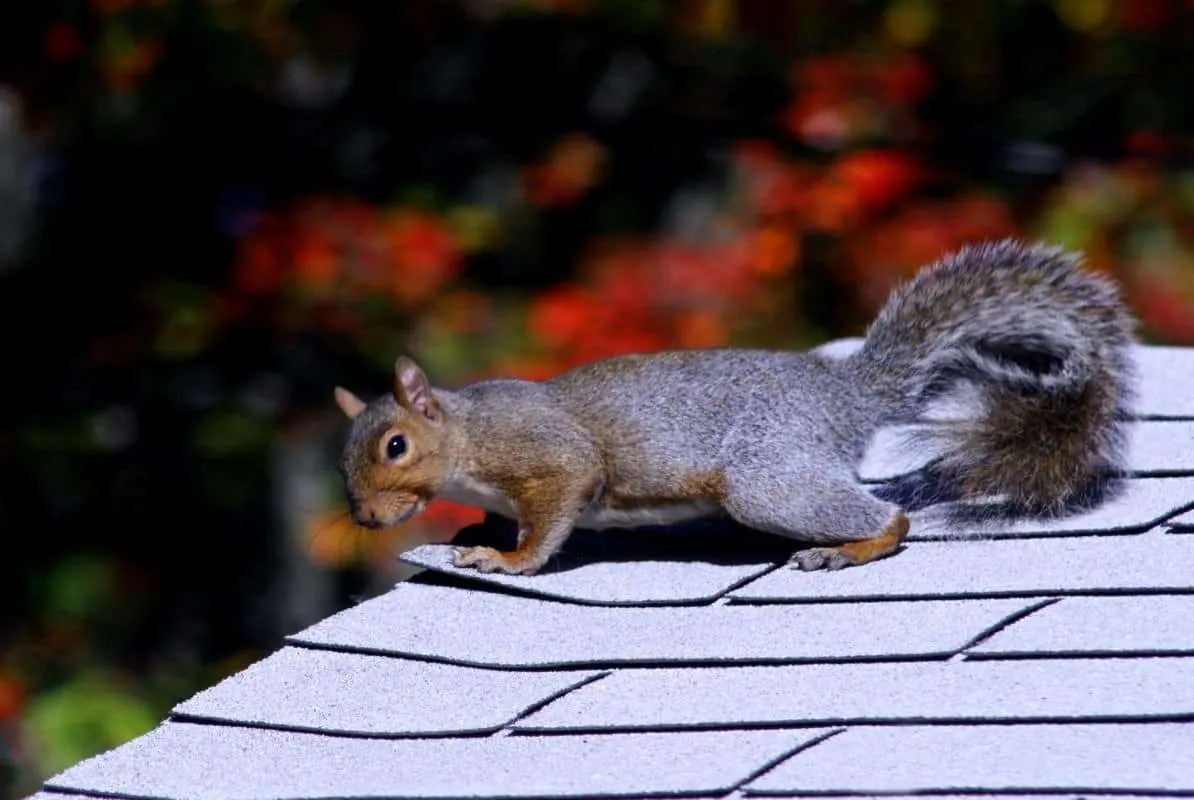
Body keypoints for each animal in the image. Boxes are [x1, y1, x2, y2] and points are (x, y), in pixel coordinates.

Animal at [332, 239, 1137, 576]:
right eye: (346, 459)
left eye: (396, 446)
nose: (366, 518)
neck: (467, 436)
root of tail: (843, 397)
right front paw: (477, 529)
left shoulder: (549, 456)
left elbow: (554, 509)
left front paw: (508, 558)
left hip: (764, 477)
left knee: (890, 518)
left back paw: (848, 549)